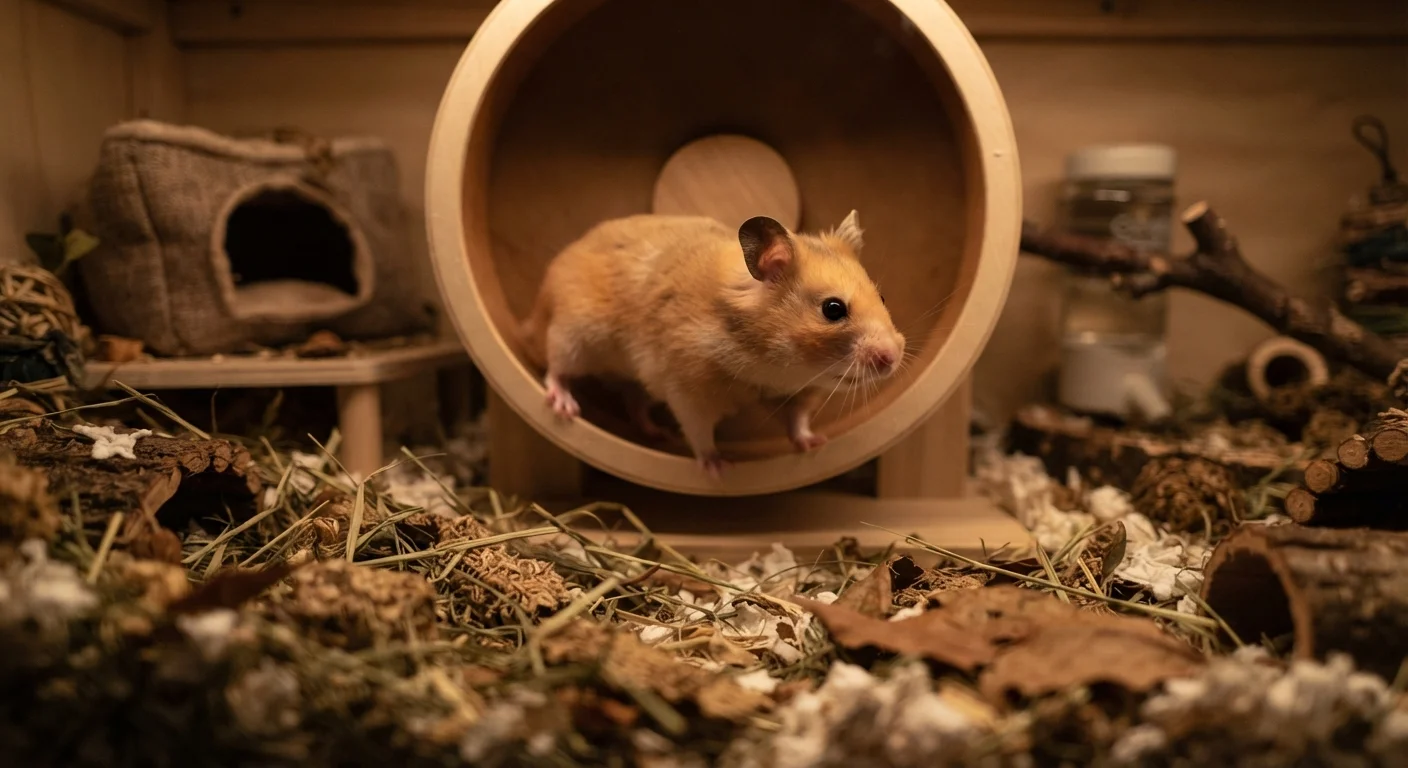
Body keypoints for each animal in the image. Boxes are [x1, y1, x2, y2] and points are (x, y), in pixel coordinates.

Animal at [518, 211, 906, 479]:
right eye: (833, 309)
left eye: (883, 297)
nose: (892, 357)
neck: (777, 364)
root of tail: (534, 314)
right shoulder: (688, 391)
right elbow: (699, 433)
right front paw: (719, 468)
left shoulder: (797, 393)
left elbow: (798, 420)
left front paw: (814, 445)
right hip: (575, 335)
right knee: (556, 369)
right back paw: (565, 407)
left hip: (633, 376)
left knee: (634, 400)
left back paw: (656, 433)